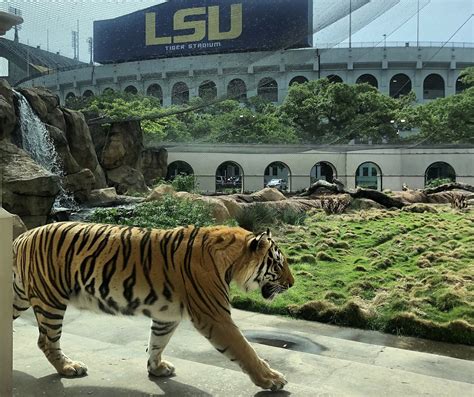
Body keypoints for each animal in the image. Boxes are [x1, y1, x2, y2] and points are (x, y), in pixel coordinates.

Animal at [12, 223, 294, 390]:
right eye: (279, 264)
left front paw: (157, 368)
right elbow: (245, 349)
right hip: (50, 300)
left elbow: (158, 341)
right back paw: (69, 367)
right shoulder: (215, 316)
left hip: (21, 296)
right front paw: (271, 379)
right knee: (46, 341)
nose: (292, 284)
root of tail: (22, 236)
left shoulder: (166, 314)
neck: (231, 261)